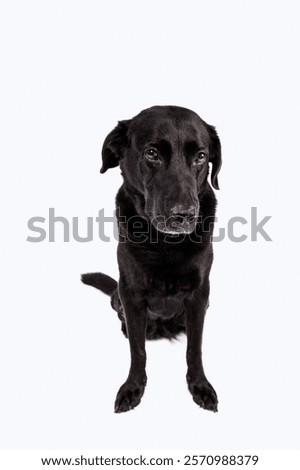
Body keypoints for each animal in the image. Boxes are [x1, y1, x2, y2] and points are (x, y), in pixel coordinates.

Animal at [81, 105, 221, 412]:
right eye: (152, 153)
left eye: (200, 156)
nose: (184, 215)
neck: (165, 244)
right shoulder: (131, 293)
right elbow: (138, 350)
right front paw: (133, 388)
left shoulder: (199, 294)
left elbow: (195, 348)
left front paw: (200, 386)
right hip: (118, 296)